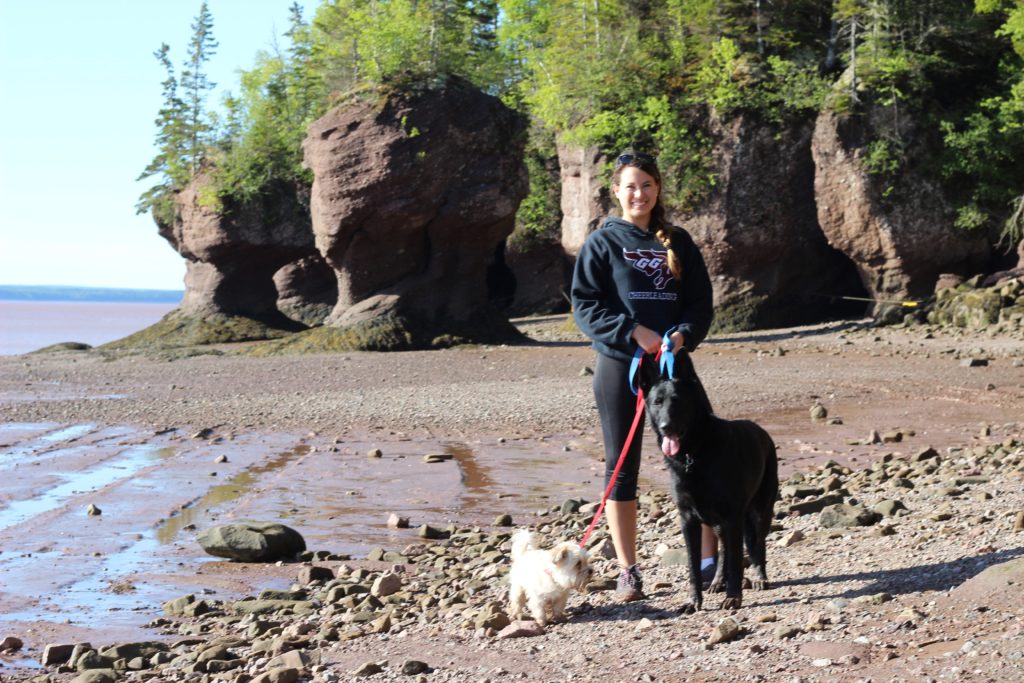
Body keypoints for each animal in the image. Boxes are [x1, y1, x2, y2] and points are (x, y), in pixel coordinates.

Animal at [638, 350, 774, 610]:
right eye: (657, 402)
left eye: (678, 400)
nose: (666, 427)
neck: (694, 453)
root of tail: (761, 431)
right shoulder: (688, 520)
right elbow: (694, 566)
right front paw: (694, 601)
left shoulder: (733, 517)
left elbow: (736, 560)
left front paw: (733, 597)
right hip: (719, 523)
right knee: (724, 551)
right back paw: (718, 581)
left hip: (759, 512)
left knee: (757, 544)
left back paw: (760, 577)